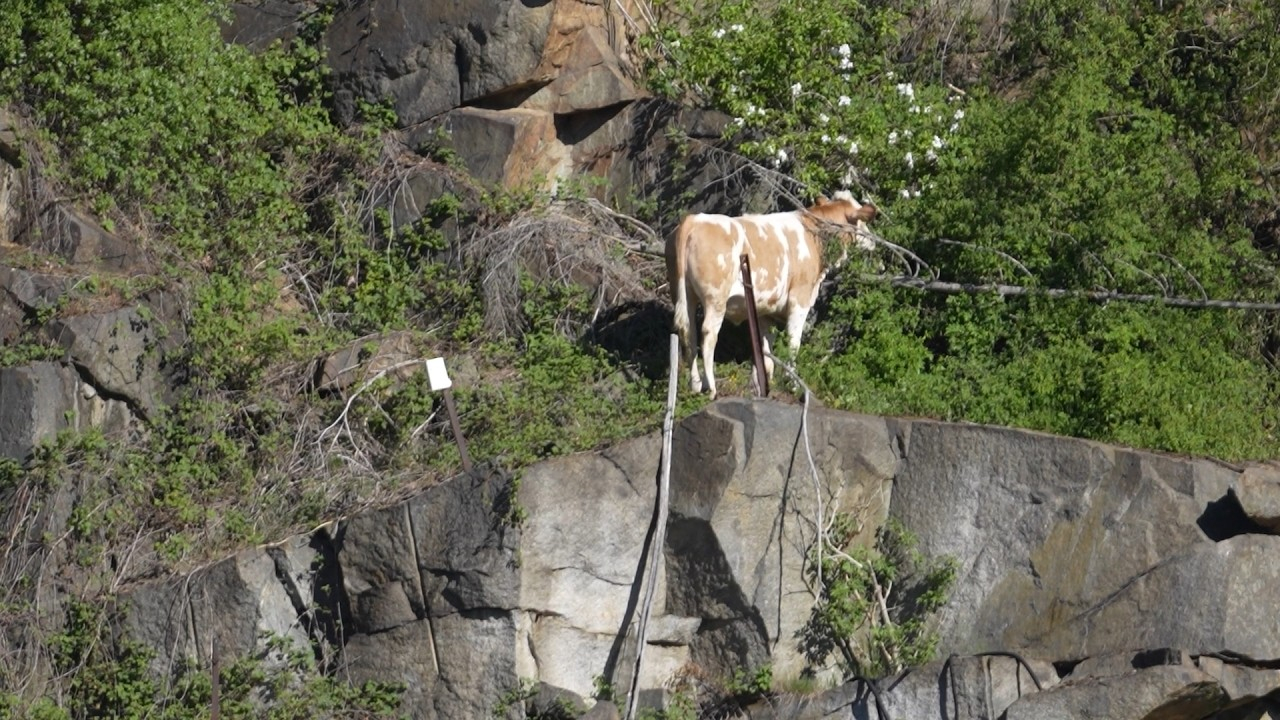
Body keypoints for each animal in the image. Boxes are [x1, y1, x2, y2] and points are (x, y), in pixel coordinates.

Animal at [665, 191, 878, 399]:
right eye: (861, 221)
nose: (873, 240)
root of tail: (693, 220)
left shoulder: (765, 310)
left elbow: (765, 350)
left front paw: (762, 385)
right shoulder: (799, 299)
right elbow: (793, 343)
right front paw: (792, 384)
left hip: (684, 294)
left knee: (689, 333)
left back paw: (695, 385)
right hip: (715, 299)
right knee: (708, 334)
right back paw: (711, 387)